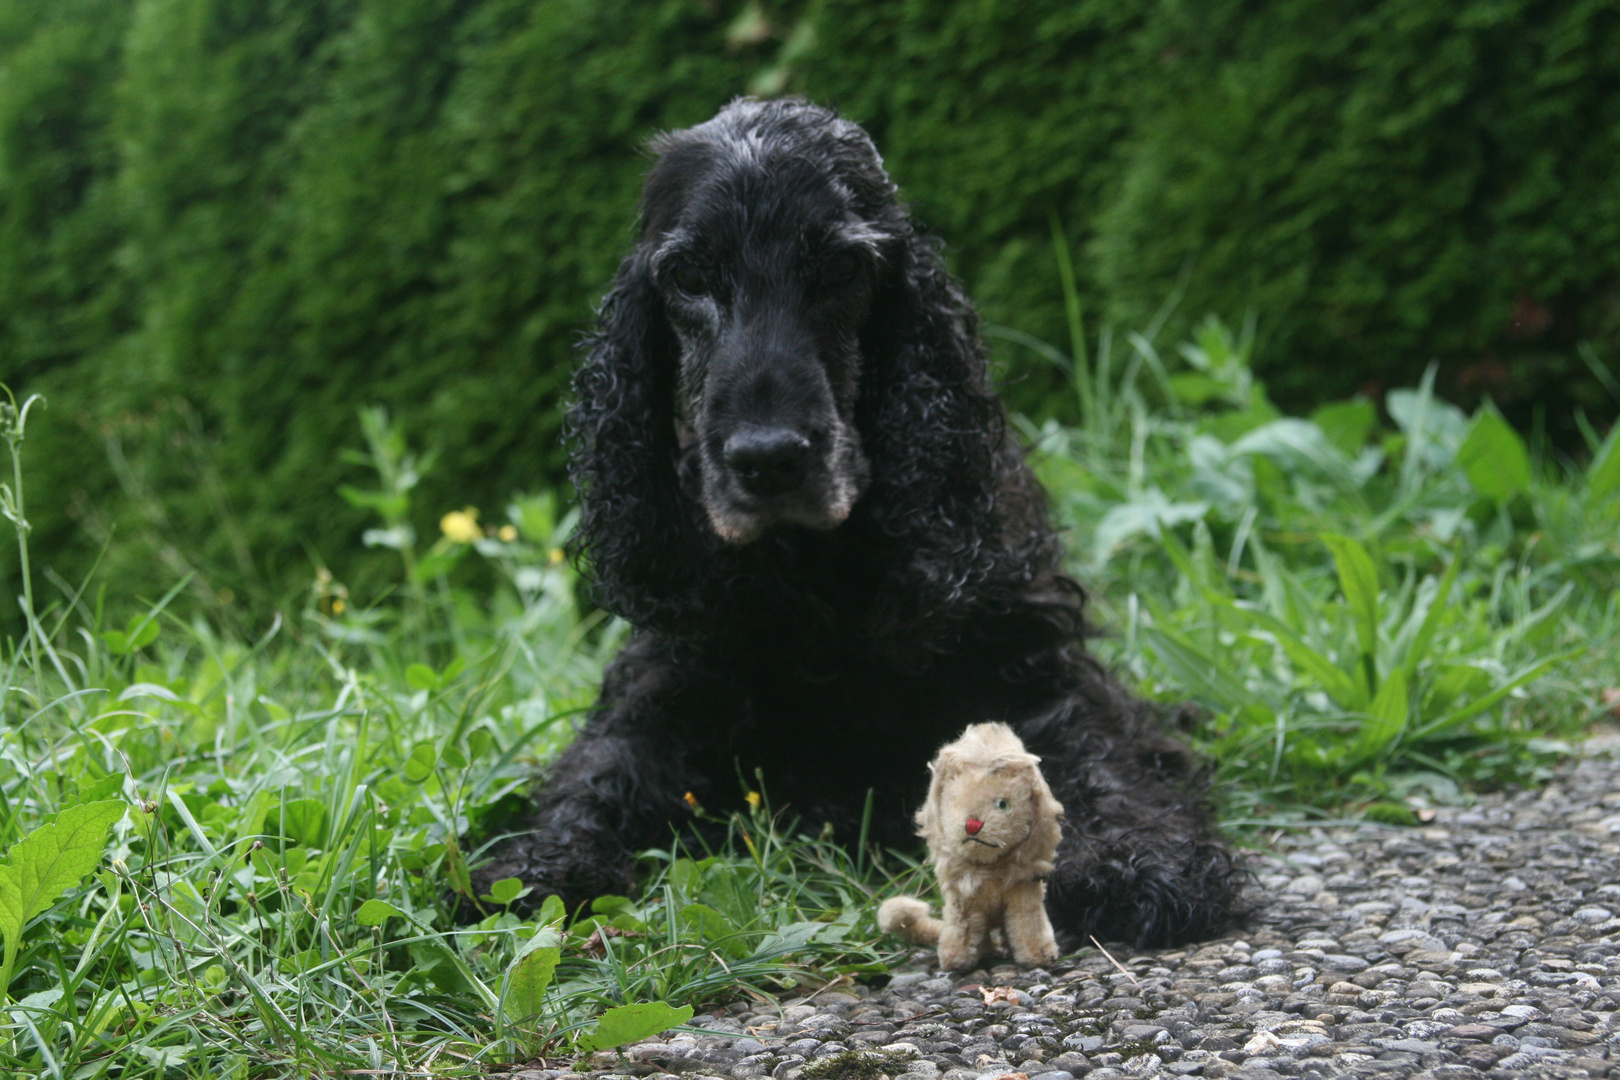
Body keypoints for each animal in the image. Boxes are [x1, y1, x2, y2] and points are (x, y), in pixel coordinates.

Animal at [473, 99, 1244, 945]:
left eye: (840, 270)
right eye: (688, 277)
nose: (769, 459)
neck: (816, 572)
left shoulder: (1032, 660)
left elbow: (1103, 753)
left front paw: (1142, 856)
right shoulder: (670, 677)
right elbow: (600, 771)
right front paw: (541, 863)